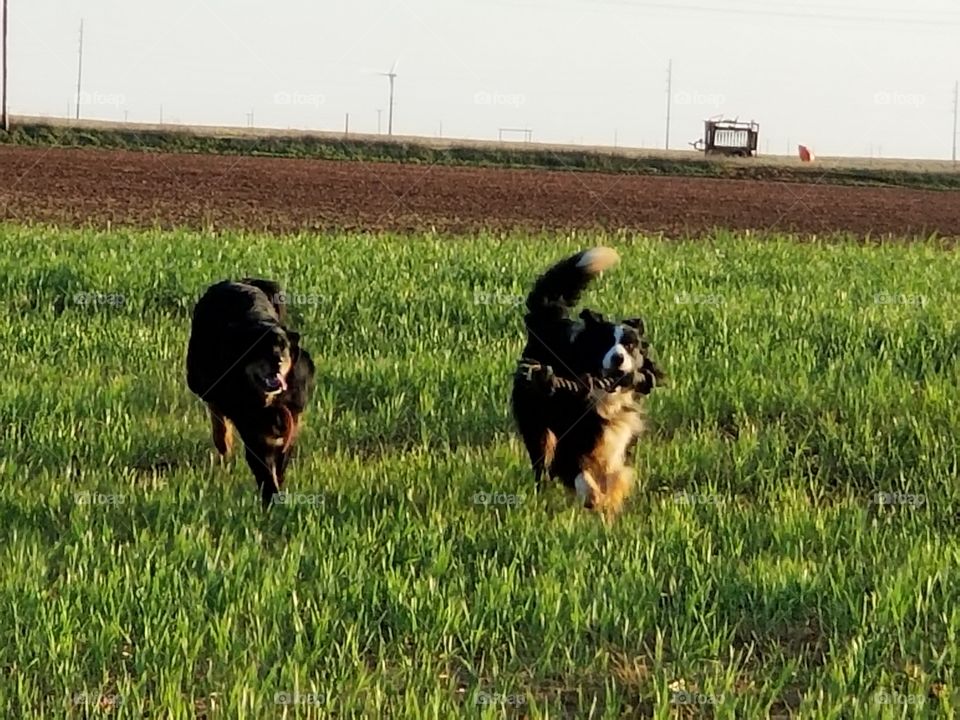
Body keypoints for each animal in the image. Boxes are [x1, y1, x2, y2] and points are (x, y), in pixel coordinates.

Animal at [189, 276, 316, 506]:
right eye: (260, 349)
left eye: (283, 347)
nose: (277, 360)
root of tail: (237, 280)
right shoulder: (253, 432)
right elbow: (264, 470)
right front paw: (270, 501)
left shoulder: (290, 424)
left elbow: (280, 464)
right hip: (198, 379)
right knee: (217, 415)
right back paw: (224, 445)